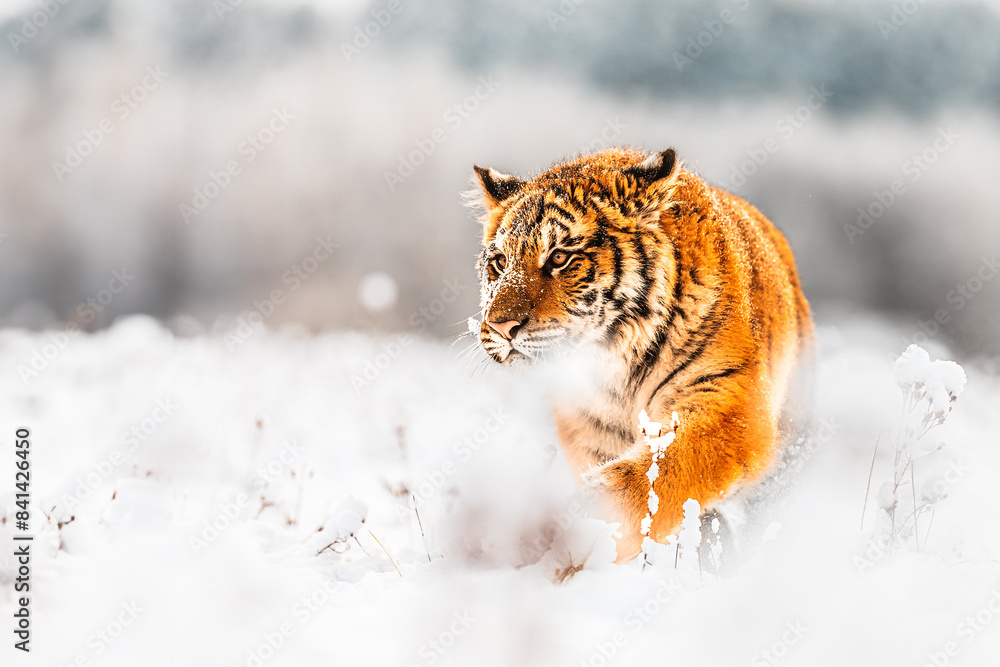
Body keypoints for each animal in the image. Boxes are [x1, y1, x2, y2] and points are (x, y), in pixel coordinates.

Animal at [469, 147, 814, 563]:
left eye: (560, 258)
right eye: (500, 263)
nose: (500, 326)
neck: (615, 365)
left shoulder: (726, 401)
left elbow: (657, 474)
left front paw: (583, 536)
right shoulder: (588, 431)